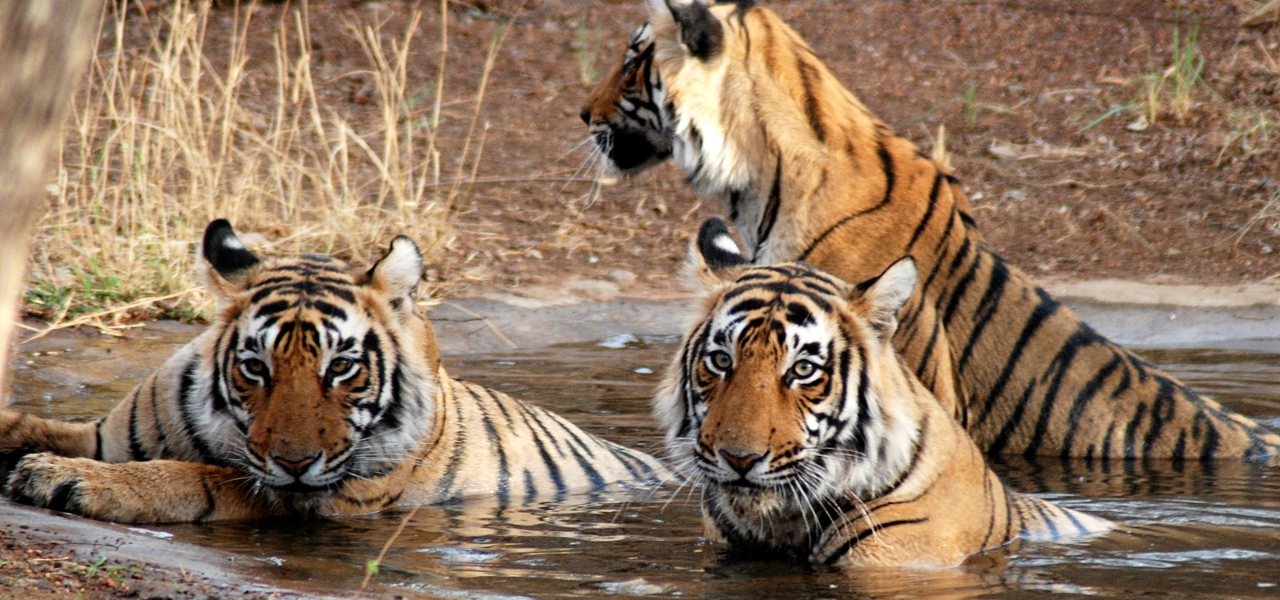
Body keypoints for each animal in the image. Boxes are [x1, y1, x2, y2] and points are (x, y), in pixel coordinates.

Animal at [0, 220, 668, 524]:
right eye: (255, 368)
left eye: (342, 368)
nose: (295, 462)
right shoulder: (104, 434)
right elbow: (33, 425)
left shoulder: (311, 495)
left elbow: (194, 476)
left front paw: (62, 478)